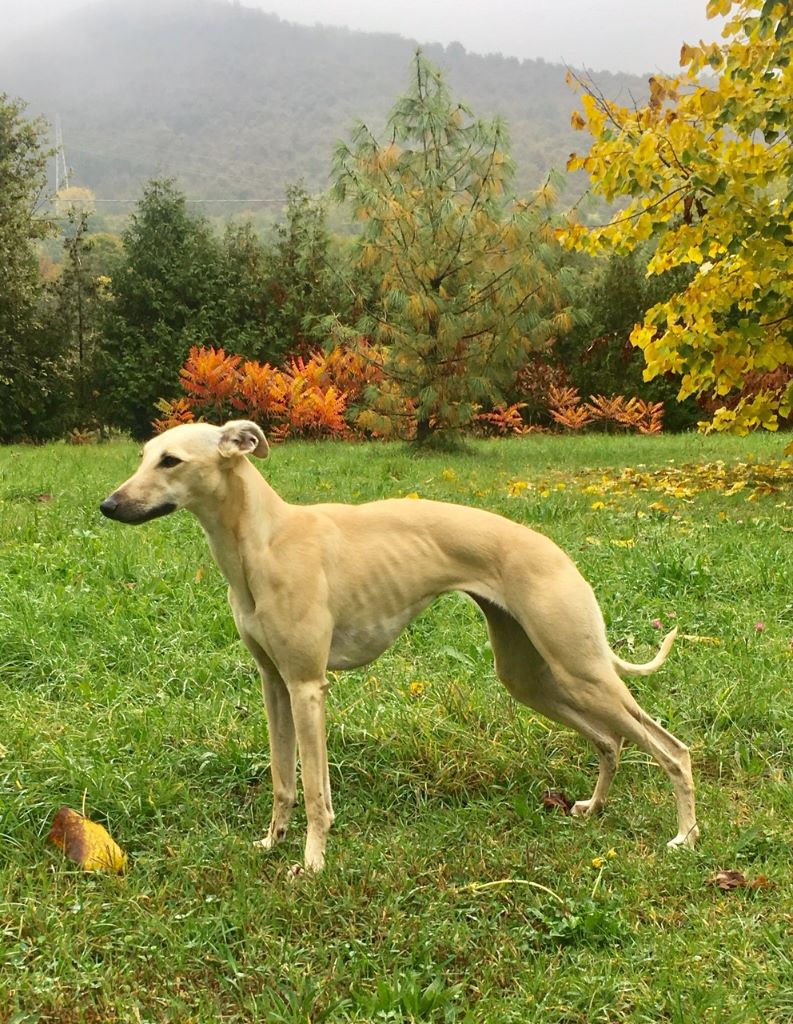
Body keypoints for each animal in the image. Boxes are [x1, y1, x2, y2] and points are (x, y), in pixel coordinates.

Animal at [100, 419, 700, 876]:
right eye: (143, 456)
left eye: (171, 461)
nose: (108, 505)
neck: (266, 540)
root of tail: (558, 553)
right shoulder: (275, 683)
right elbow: (283, 781)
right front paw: (272, 844)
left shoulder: (307, 685)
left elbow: (314, 791)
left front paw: (312, 865)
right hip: (531, 675)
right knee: (610, 741)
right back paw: (594, 808)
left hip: (581, 668)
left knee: (672, 748)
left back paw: (685, 837)